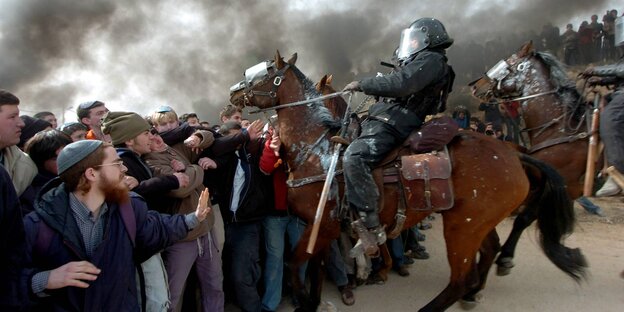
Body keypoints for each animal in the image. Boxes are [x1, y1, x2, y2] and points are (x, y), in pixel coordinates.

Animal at [229, 51, 584, 312]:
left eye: (261, 72)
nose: (233, 93)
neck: (316, 149)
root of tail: (513, 155)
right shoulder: (321, 229)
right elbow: (314, 268)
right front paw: (314, 301)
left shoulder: (323, 224)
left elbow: (294, 265)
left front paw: (305, 301)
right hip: (476, 222)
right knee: (488, 253)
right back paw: (475, 290)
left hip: (462, 227)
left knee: (460, 278)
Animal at [472, 41, 596, 276]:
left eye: (506, 63)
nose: (475, 86)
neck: (560, 128)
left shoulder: (561, 186)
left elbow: (524, 218)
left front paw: (505, 256)